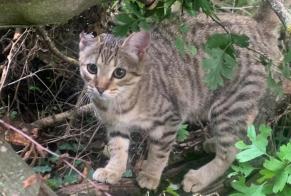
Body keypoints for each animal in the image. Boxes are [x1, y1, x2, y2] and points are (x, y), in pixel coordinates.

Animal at [79, 3, 282, 193]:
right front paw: (113, 170)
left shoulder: (169, 119)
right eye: (92, 68)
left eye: (119, 72)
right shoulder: (115, 125)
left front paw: (151, 175)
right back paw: (214, 144)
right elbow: (118, 148)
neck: (118, 102)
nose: (100, 88)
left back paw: (200, 176)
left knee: (231, 150)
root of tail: (255, 24)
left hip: (228, 105)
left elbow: (159, 153)